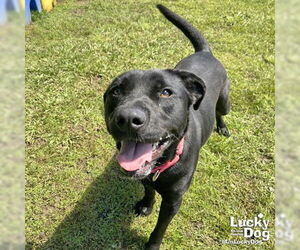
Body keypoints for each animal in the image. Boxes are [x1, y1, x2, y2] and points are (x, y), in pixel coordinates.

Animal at [103, 4, 230, 250]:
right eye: (116, 91)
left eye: (165, 92)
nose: (128, 118)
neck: (161, 166)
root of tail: (205, 52)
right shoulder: (145, 178)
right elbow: (148, 190)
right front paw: (146, 204)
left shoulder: (173, 201)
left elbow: (160, 228)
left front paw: (152, 244)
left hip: (225, 100)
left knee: (221, 112)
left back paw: (222, 127)